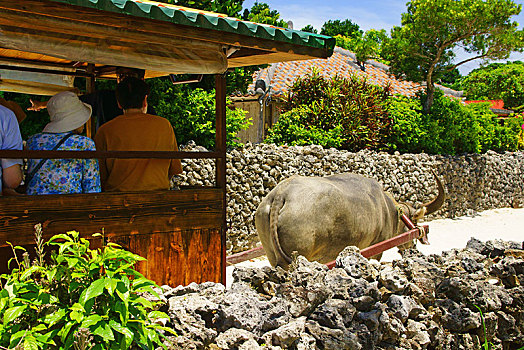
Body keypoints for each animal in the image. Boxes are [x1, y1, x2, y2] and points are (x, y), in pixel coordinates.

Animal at [256, 172, 444, 268]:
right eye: (414, 221)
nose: (412, 247)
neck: (390, 210)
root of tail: (281, 194)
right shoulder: (376, 249)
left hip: (273, 254)